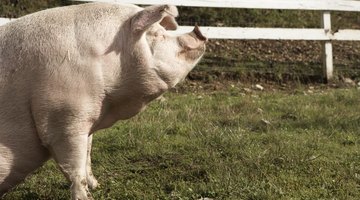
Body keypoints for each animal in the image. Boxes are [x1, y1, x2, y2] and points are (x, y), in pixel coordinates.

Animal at [0, 2, 205, 199]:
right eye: (156, 34)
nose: (198, 32)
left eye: (163, 30)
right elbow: (74, 168)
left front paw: (97, 185)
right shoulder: (63, 119)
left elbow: (87, 155)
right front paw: (86, 197)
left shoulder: (87, 118)